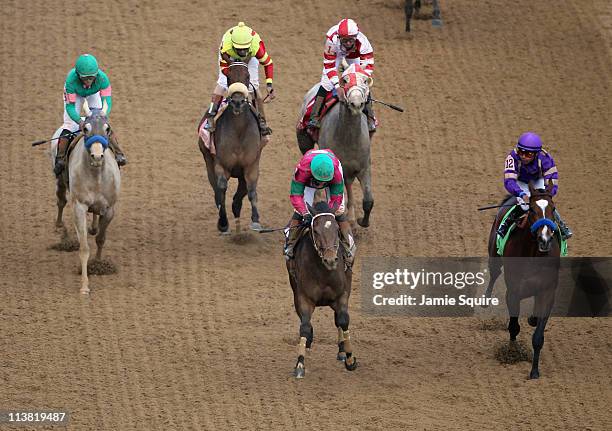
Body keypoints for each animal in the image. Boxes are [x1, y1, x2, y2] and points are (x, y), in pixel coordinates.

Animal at [51, 101, 122, 296]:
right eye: (85, 128)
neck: (96, 174)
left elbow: (101, 239)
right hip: (60, 179)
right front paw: (84, 286)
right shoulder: (79, 207)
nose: (97, 156)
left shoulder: (110, 209)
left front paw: (98, 264)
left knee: (96, 218)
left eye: (107, 128)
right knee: (61, 201)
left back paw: (93, 227)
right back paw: (60, 229)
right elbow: (84, 248)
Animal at [288, 201, 358, 380]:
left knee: (338, 320)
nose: (330, 259)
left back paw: (341, 351)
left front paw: (349, 358)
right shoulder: (303, 298)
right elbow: (305, 326)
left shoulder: (342, 295)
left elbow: (343, 320)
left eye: (336, 229)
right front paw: (300, 364)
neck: (324, 271)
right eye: (316, 231)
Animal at [296, 63, 372, 230]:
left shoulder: (363, 167)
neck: (348, 139)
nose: (356, 104)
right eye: (345, 80)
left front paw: (361, 221)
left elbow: (368, 201)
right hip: (304, 140)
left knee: (348, 185)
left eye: (365, 80)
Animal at [486, 181, 560, 380]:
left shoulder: (548, 293)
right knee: (493, 274)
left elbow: (538, 337)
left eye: (553, 208)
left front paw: (534, 371)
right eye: (532, 209)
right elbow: (513, 327)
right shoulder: (513, 291)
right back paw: (485, 299)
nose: (544, 240)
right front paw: (512, 352)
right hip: (493, 254)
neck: (534, 255)